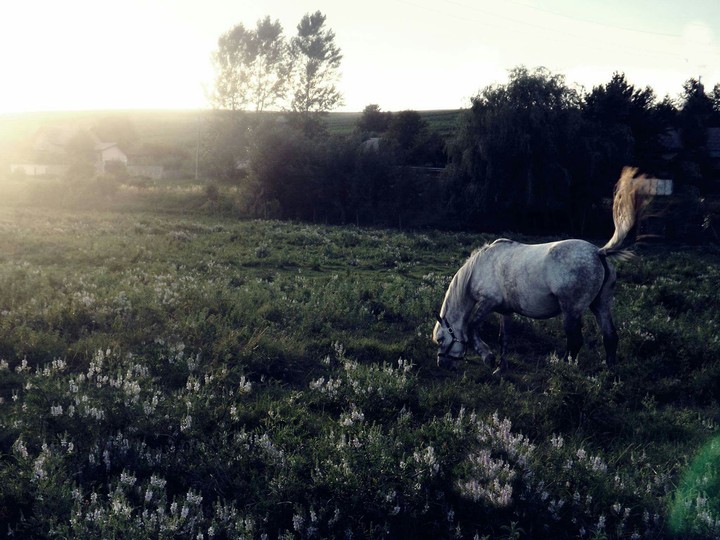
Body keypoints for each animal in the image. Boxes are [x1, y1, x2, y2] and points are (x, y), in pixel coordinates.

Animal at [432, 167, 651, 373]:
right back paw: (610, 372)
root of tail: (598, 252)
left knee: (575, 341)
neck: (480, 268)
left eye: (441, 339)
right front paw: (500, 368)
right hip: (601, 305)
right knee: (610, 337)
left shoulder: (488, 302)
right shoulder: (506, 311)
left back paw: (565, 368)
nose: (443, 365)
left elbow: (471, 328)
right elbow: (504, 338)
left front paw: (488, 356)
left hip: (571, 311)